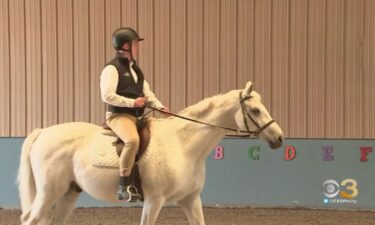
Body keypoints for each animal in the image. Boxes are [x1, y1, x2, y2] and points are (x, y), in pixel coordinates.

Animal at [16, 81, 282, 225]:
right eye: (256, 110)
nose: (279, 138)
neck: (183, 145)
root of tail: (43, 132)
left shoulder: (190, 199)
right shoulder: (155, 200)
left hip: (68, 193)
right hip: (49, 192)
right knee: (30, 220)